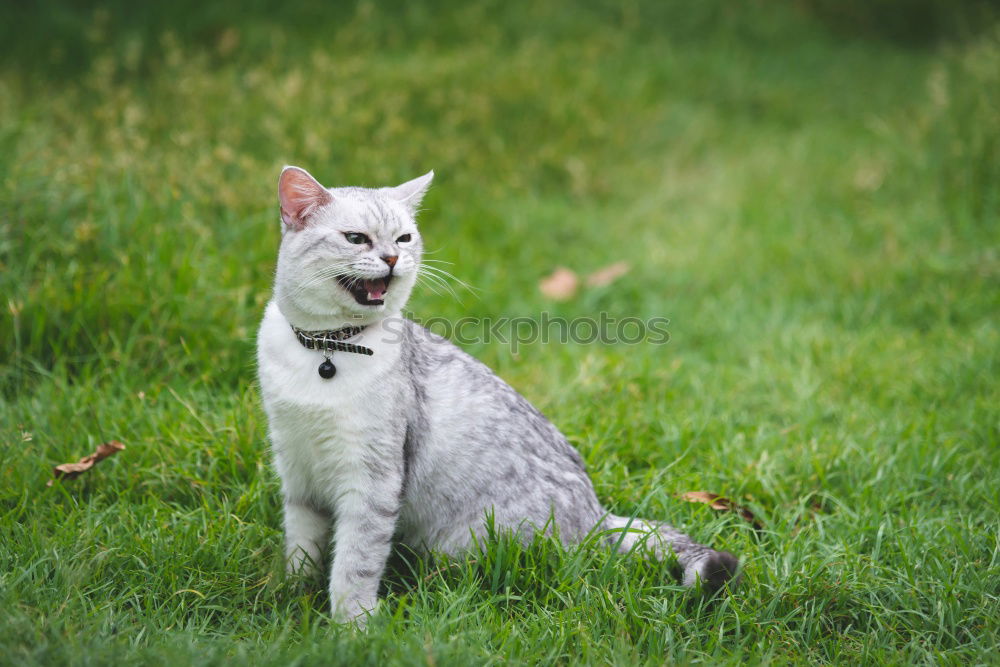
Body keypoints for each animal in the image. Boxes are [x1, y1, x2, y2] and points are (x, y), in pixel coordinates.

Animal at [256, 167, 744, 628]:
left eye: (403, 238)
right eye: (356, 238)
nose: (393, 258)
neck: (326, 351)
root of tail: (597, 515)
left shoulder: (371, 482)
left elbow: (354, 564)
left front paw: (351, 625)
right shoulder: (297, 473)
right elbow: (301, 549)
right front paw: (291, 596)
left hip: (462, 545)